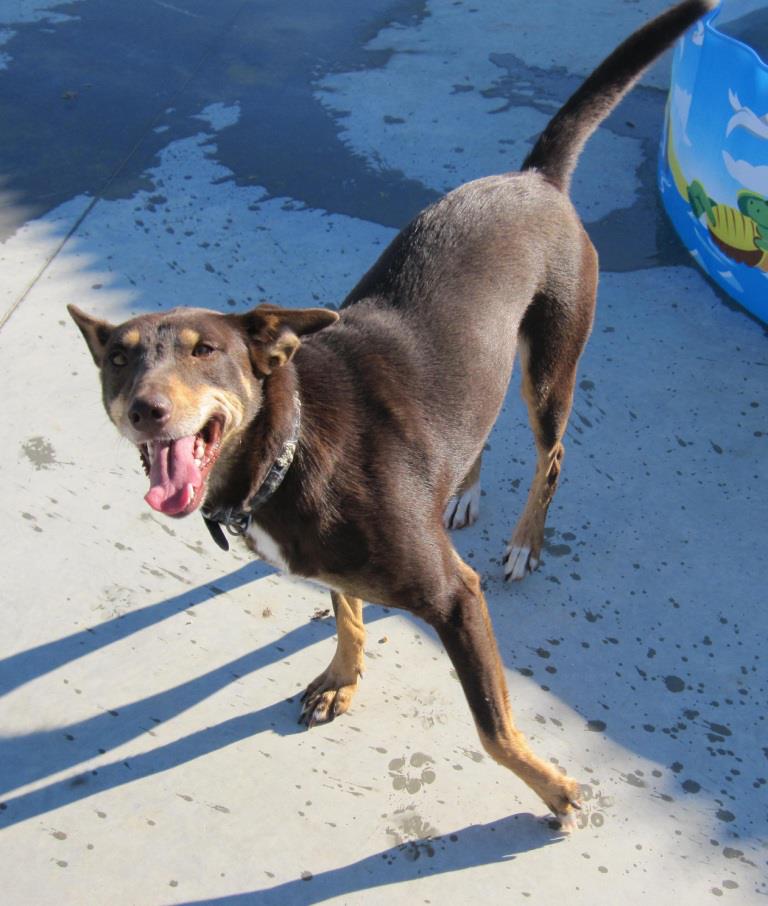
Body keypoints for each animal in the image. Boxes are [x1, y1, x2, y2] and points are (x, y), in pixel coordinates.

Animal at [69, 1, 716, 828]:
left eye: (204, 350)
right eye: (119, 360)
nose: (145, 410)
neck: (288, 449)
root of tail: (534, 178)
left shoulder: (455, 597)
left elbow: (494, 728)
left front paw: (556, 790)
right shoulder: (336, 563)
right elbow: (348, 612)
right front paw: (341, 678)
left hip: (550, 368)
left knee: (552, 455)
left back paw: (525, 542)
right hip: (489, 364)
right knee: (480, 430)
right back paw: (461, 492)